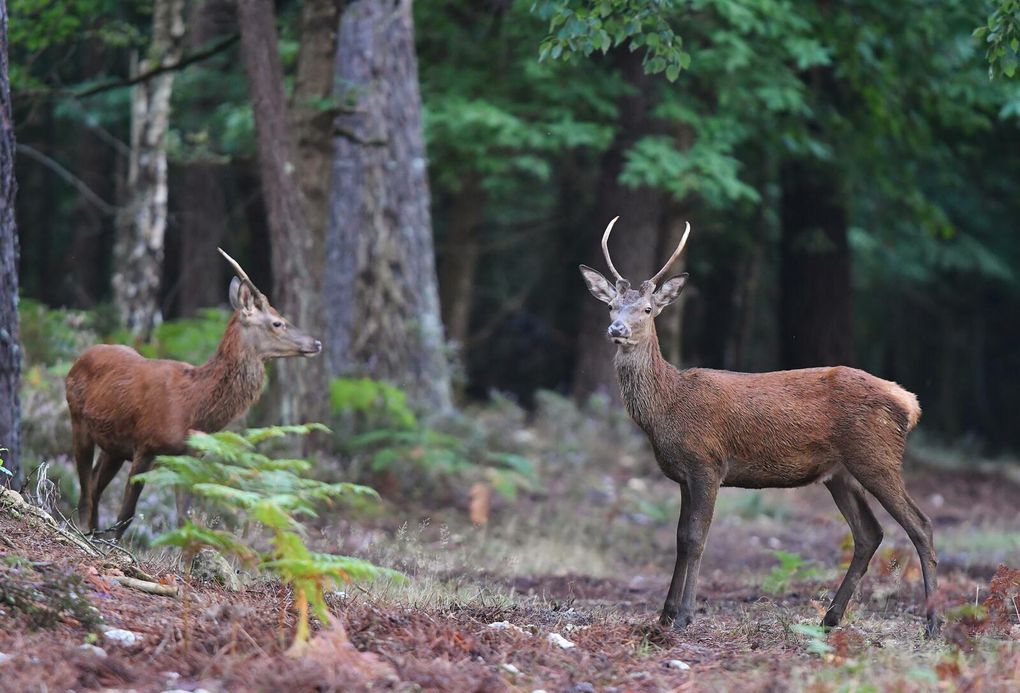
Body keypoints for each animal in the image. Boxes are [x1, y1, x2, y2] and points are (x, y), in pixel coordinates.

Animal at [66, 252, 320, 538]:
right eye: (277, 322)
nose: (316, 343)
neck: (191, 410)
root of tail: (78, 359)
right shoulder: (146, 444)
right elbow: (126, 514)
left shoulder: (189, 457)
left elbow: (187, 519)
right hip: (78, 420)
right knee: (85, 487)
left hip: (114, 446)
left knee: (94, 484)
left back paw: (92, 532)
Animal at [583, 219, 938, 636]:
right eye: (610, 305)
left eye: (648, 308)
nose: (617, 328)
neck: (666, 408)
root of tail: (910, 403)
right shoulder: (685, 475)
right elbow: (680, 538)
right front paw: (665, 614)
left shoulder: (707, 463)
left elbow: (697, 538)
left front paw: (685, 616)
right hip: (840, 473)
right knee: (869, 533)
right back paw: (830, 618)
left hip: (877, 457)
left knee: (920, 524)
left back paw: (933, 624)